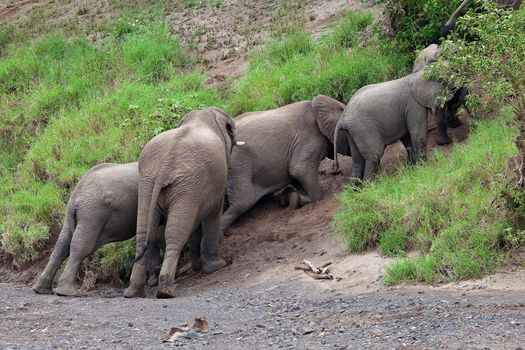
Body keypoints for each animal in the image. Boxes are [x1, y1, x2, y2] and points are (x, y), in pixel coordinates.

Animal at [32, 163, 164, 296]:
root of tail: (76, 196)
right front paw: (153, 281)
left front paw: (153, 281)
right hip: (93, 213)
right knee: (81, 247)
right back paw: (67, 292)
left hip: (77, 214)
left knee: (62, 245)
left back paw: (41, 290)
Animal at [123, 106, 237, 298]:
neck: (202, 115)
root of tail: (164, 169)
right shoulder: (213, 184)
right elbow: (213, 214)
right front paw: (216, 267)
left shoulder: (196, 189)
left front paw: (198, 266)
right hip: (185, 186)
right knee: (175, 235)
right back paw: (165, 291)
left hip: (148, 184)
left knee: (144, 234)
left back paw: (133, 293)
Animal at [219, 95, 350, 235]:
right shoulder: (310, 136)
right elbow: (300, 170)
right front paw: (295, 199)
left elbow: (295, 175)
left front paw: (288, 197)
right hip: (238, 164)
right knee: (243, 202)